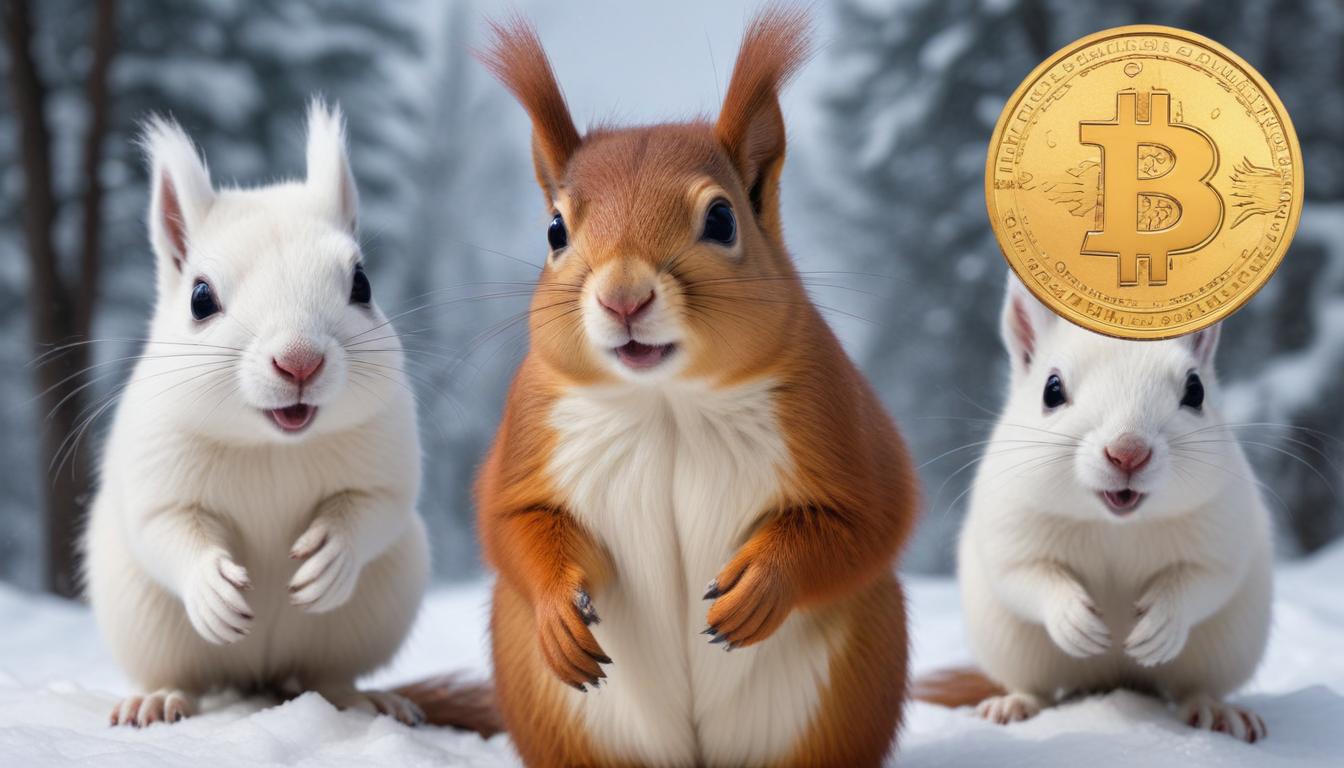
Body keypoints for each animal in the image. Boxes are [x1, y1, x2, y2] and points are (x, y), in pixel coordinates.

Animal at [82, 101, 496, 734]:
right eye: (200, 298)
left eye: (362, 283)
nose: (299, 360)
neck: (274, 444)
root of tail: (259, 677)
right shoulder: (158, 469)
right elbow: (165, 529)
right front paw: (212, 585)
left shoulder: (385, 452)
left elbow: (375, 508)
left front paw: (330, 555)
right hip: (146, 622)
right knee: (180, 676)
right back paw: (156, 700)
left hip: (365, 616)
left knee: (326, 678)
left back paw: (366, 699)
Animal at [443, 7, 919, 766]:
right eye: (555, 229)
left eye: (722, 220)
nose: (623, 297)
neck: (663, 402)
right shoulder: (527, 430)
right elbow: (511, 521)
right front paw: (559, 611)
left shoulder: (838, 418)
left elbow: (867, 520)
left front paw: (760, 588)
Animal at [914, 275, 1273, 744]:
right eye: (1052, 390)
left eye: (1195, 391)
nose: (1128, 451)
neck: (1115, 524)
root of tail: (1113, 680)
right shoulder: (1011, 530)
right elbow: (1026, 577)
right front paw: (1073, 619)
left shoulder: (1222, 530)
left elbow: (1203, 582)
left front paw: (1161, 623)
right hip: (1015, 648)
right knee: (1036, 689)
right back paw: (1012, 705)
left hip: (1220, 651)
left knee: (1194, 688)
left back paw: (1217, 711)